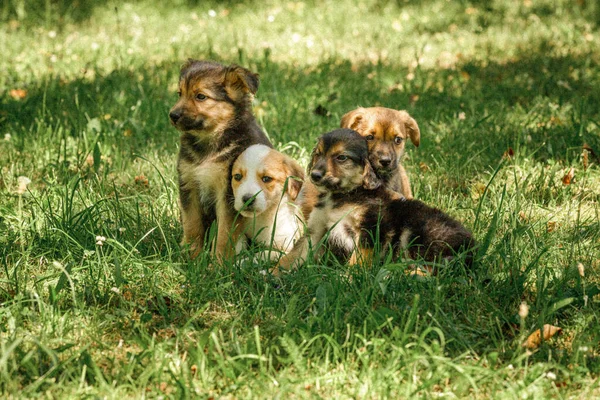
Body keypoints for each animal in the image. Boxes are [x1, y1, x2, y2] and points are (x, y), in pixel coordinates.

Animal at [169, 59, 272, 260]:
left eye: (201, 96)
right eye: (179, 93)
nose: (173, 115)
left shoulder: (229, 194)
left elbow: (225, 233)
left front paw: (219, 263)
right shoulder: (189, 184)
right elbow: (192, 224)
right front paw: (191, 256)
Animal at [274, 130, 476, 274]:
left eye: (341, 157)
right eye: (318, 154)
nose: (314, 175)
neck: (344, 196)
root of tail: (471, 246)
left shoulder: (370, 231)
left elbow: (357, 262)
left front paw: (345, 281)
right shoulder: (316, 229)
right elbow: (293, 255)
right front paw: (272, 274)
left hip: (417, 231)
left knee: (431, 269)